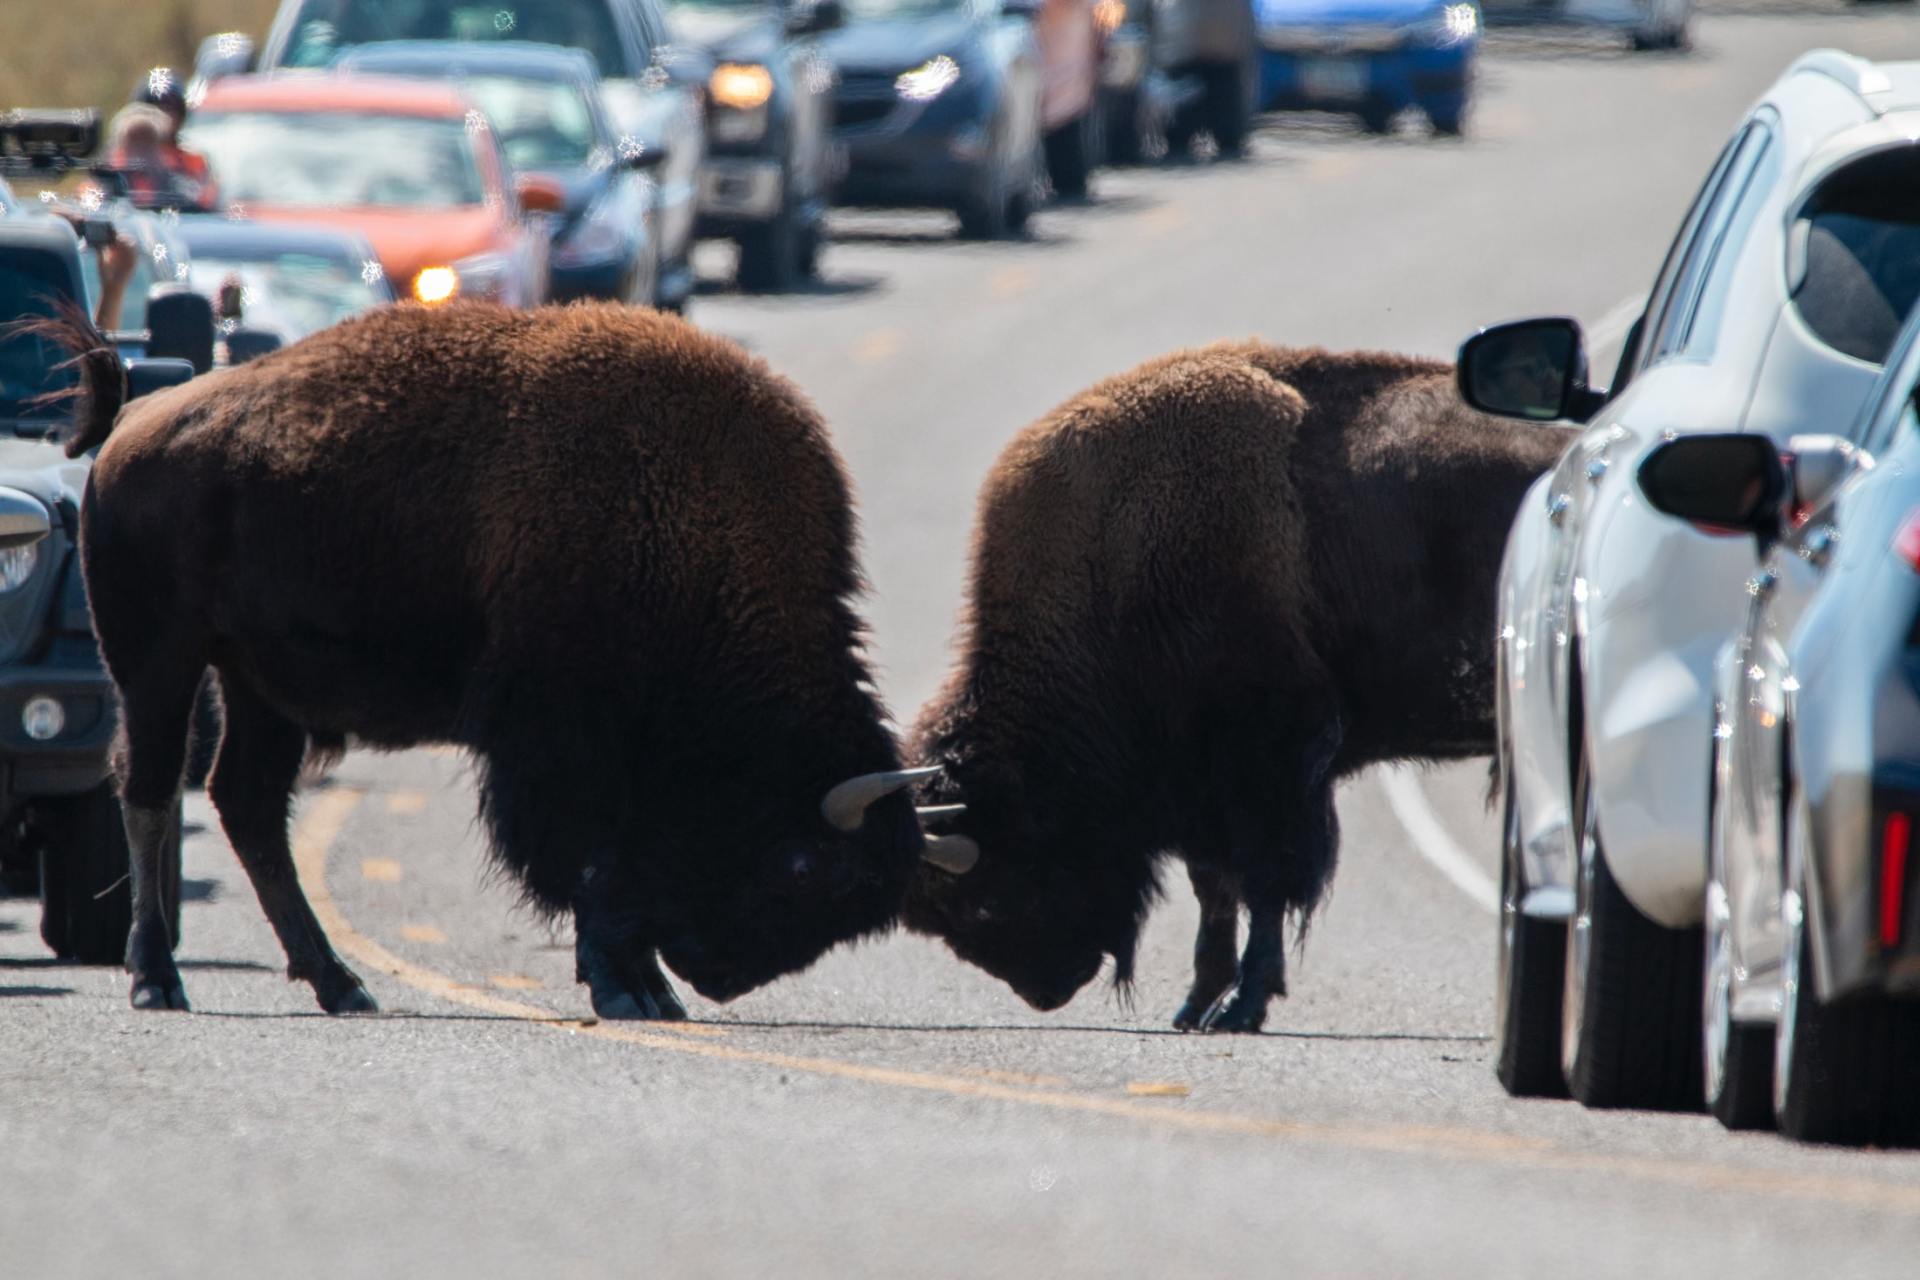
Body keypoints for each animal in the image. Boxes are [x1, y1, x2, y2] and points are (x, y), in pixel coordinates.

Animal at [48, 301, 940, 1020]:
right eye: (805, 867)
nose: (721, 978)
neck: (697, 527)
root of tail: (137, 416)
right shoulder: (560, 744)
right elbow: (591, 864)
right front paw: (628, 989)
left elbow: (614, 869)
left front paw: (650, 989)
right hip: (157, 663)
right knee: (150, 788)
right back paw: (157, 980)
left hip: (258, 687)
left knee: (248, 805)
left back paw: (341, 984)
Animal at [906, 339, 1566, 1028]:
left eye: (982, 895)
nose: (1044, 990)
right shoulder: (1201, 787)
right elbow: (1216, 889)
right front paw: (1197, 1004)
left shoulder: (1269, 767)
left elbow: (1266, 886)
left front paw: (1241, 1005)